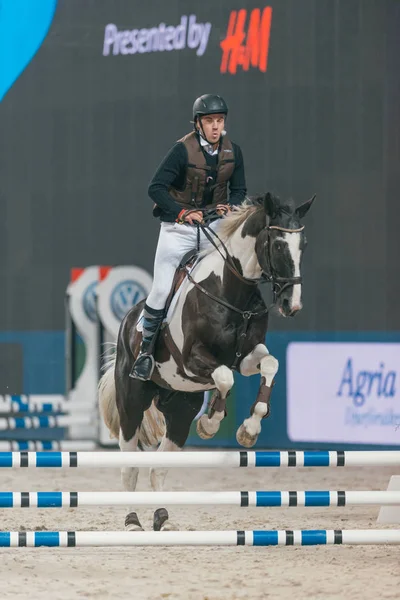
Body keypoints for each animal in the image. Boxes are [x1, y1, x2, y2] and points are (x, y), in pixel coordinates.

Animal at [98, 192, 314, 528]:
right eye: (278, 244)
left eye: (302, 244)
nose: (292, 304)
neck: (231, 290)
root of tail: (129, 319)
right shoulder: (192, 359)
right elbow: (224, 377)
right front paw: (211, 424)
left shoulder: (246, 358)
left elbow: (269, 365)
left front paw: (249, 429)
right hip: (131, 402)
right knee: (130, 466)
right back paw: (133, 521)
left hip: (180, 411)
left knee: (158, 467)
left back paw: (163, 518)